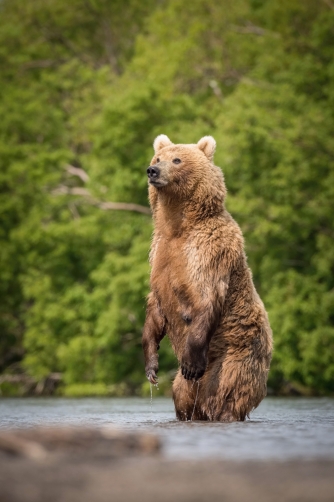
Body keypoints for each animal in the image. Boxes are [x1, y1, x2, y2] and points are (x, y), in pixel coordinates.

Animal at [142, 135, 272, 422]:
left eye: (177, 159)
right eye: (158, 158)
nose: (152, 171)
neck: (179, 226)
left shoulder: (208, 252)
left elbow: (206, 298)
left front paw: (191, 363)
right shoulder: (159, 254)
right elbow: (155, 308)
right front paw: (151, 366)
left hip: (234, 355)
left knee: (223, 391)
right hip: (186, 382)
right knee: (182, 394)